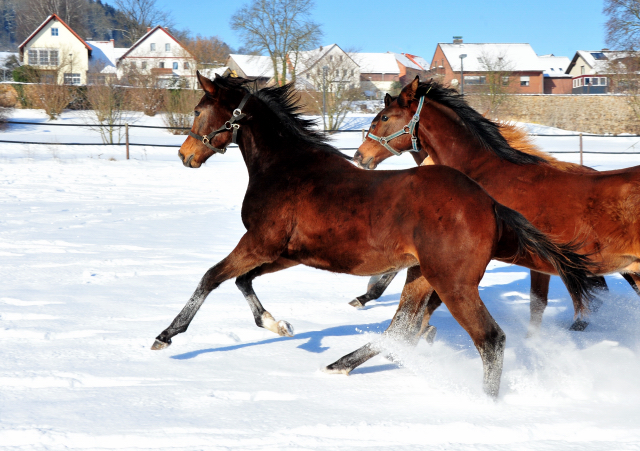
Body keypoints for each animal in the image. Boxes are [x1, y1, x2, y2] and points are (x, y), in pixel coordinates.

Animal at [154, 72, 596, 398]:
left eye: (198, 110)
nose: (184, 155)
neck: (285, 167)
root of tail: (488, 203)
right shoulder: (287, 252)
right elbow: (242, 281)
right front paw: (279, 325)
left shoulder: (259, 242)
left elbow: (211, 277)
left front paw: (166, 336)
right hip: (422, 275)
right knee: (401, 328)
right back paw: (339, 364)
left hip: (453, 283)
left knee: (489, 338)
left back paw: (486, 402)